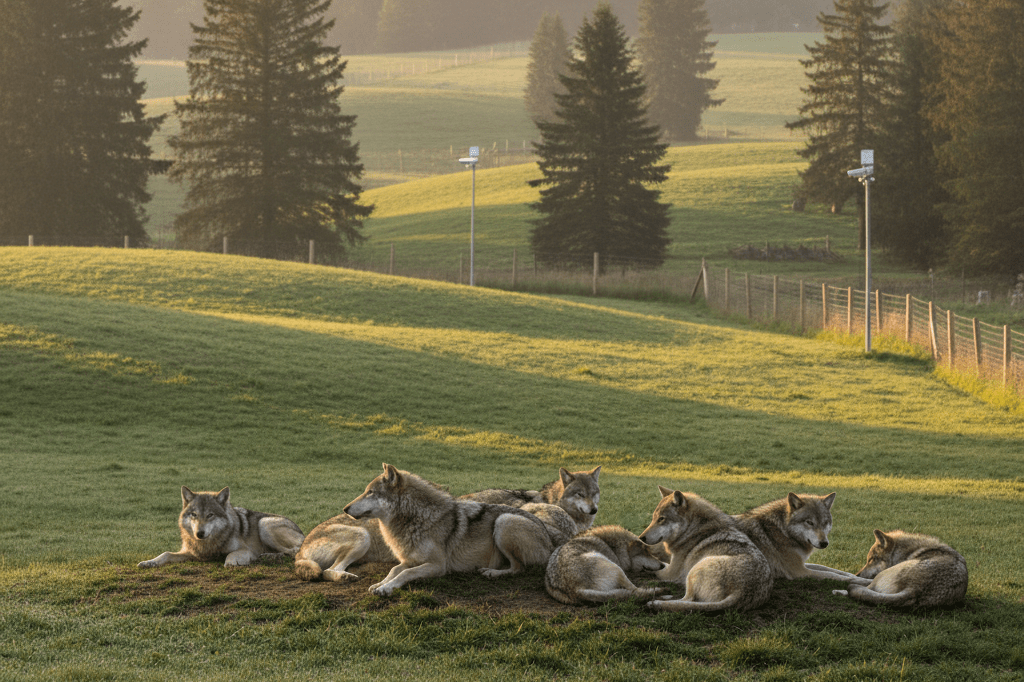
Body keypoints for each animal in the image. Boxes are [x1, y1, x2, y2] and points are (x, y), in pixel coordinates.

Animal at [138, 486, 305, 568]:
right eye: (194, 515)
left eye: (210, 515)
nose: (199, 533)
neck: (209, 545)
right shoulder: (192, 553)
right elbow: (166, 554)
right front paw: (149, 562)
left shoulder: (247, 550)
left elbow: (231, 555)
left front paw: (231, 562)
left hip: (264, 524)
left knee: (295, 551)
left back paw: (268, 557)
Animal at [344, 463, 557, 596]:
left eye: (370, 492)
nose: (345, 509)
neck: (415, 518)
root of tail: (551, 544)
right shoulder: (411, 559)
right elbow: (395, 569)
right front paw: (380, 584)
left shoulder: (438, 566)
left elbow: (406, 574)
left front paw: (387, 589)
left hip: (504, 521)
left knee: (518, 568)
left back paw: (491, 572)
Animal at [639, 486, 773, 612]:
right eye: (653, 518)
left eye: (661, 519)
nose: (641, 538)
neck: (691, 530)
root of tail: (741, 593)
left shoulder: (671, 573)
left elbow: (659, 568)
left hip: (694, 570)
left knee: (688, 600)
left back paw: (658, 601)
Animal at [734, 492, 869, 584]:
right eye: (809, 522)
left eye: (825, 522)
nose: (824, 543)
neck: (784, 532)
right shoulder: (799, 571)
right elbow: (833, 575)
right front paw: (863, 582)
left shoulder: (803, 563)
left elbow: (831, 569)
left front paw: (858, 576)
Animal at [832, 530, 968, 607]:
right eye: (868, 560)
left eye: (871, 559)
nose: (858, 574)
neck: (905, 553)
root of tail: (914, 589)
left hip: (880, 576)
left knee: (857, 590)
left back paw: (839, 591)